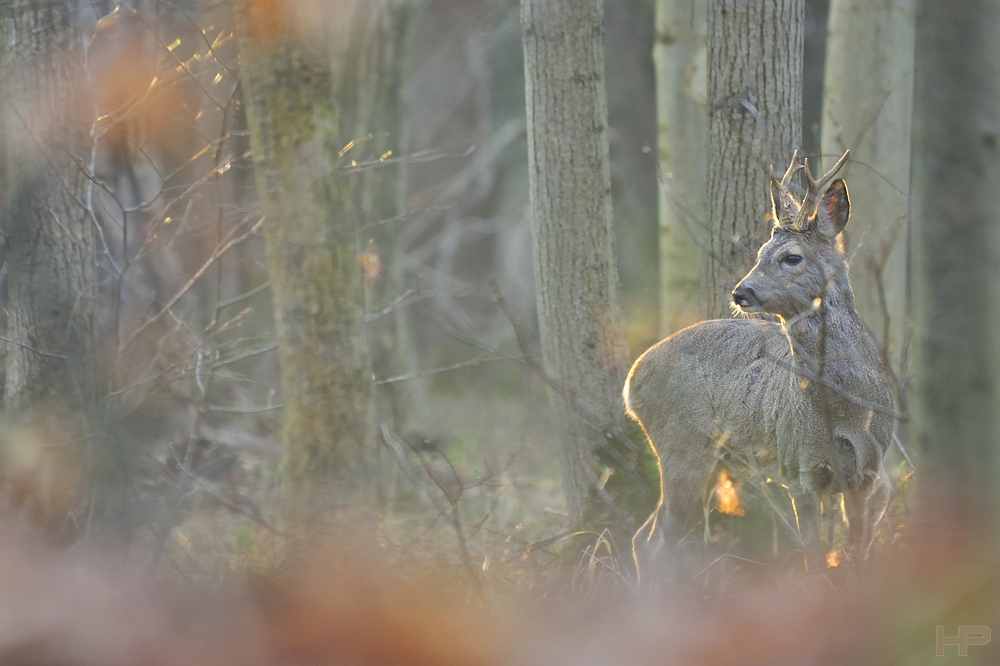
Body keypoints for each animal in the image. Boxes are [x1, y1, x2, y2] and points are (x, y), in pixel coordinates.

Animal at [628, 149, 896, 576]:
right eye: (758, 256)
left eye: (791, 257)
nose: (741, 292)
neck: (845, 406)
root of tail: (631, 379)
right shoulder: (798, 467)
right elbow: (815, 560)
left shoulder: (867, 473)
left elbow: (857, 553)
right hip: (681, 447)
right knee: (655, 541)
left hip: (709, 459)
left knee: (646, 536)